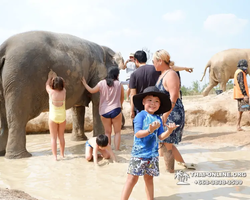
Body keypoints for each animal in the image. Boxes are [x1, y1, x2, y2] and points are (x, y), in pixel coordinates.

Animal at [0, 30, 124, 159]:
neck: (103, 49)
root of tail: (4, 47)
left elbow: (78, 107)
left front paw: (78, 140)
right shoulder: (98, 71)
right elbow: (97, 99)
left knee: (4, 121)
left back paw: (3, 154)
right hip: (19, 81)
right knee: (17, 118)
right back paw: (20, 156)